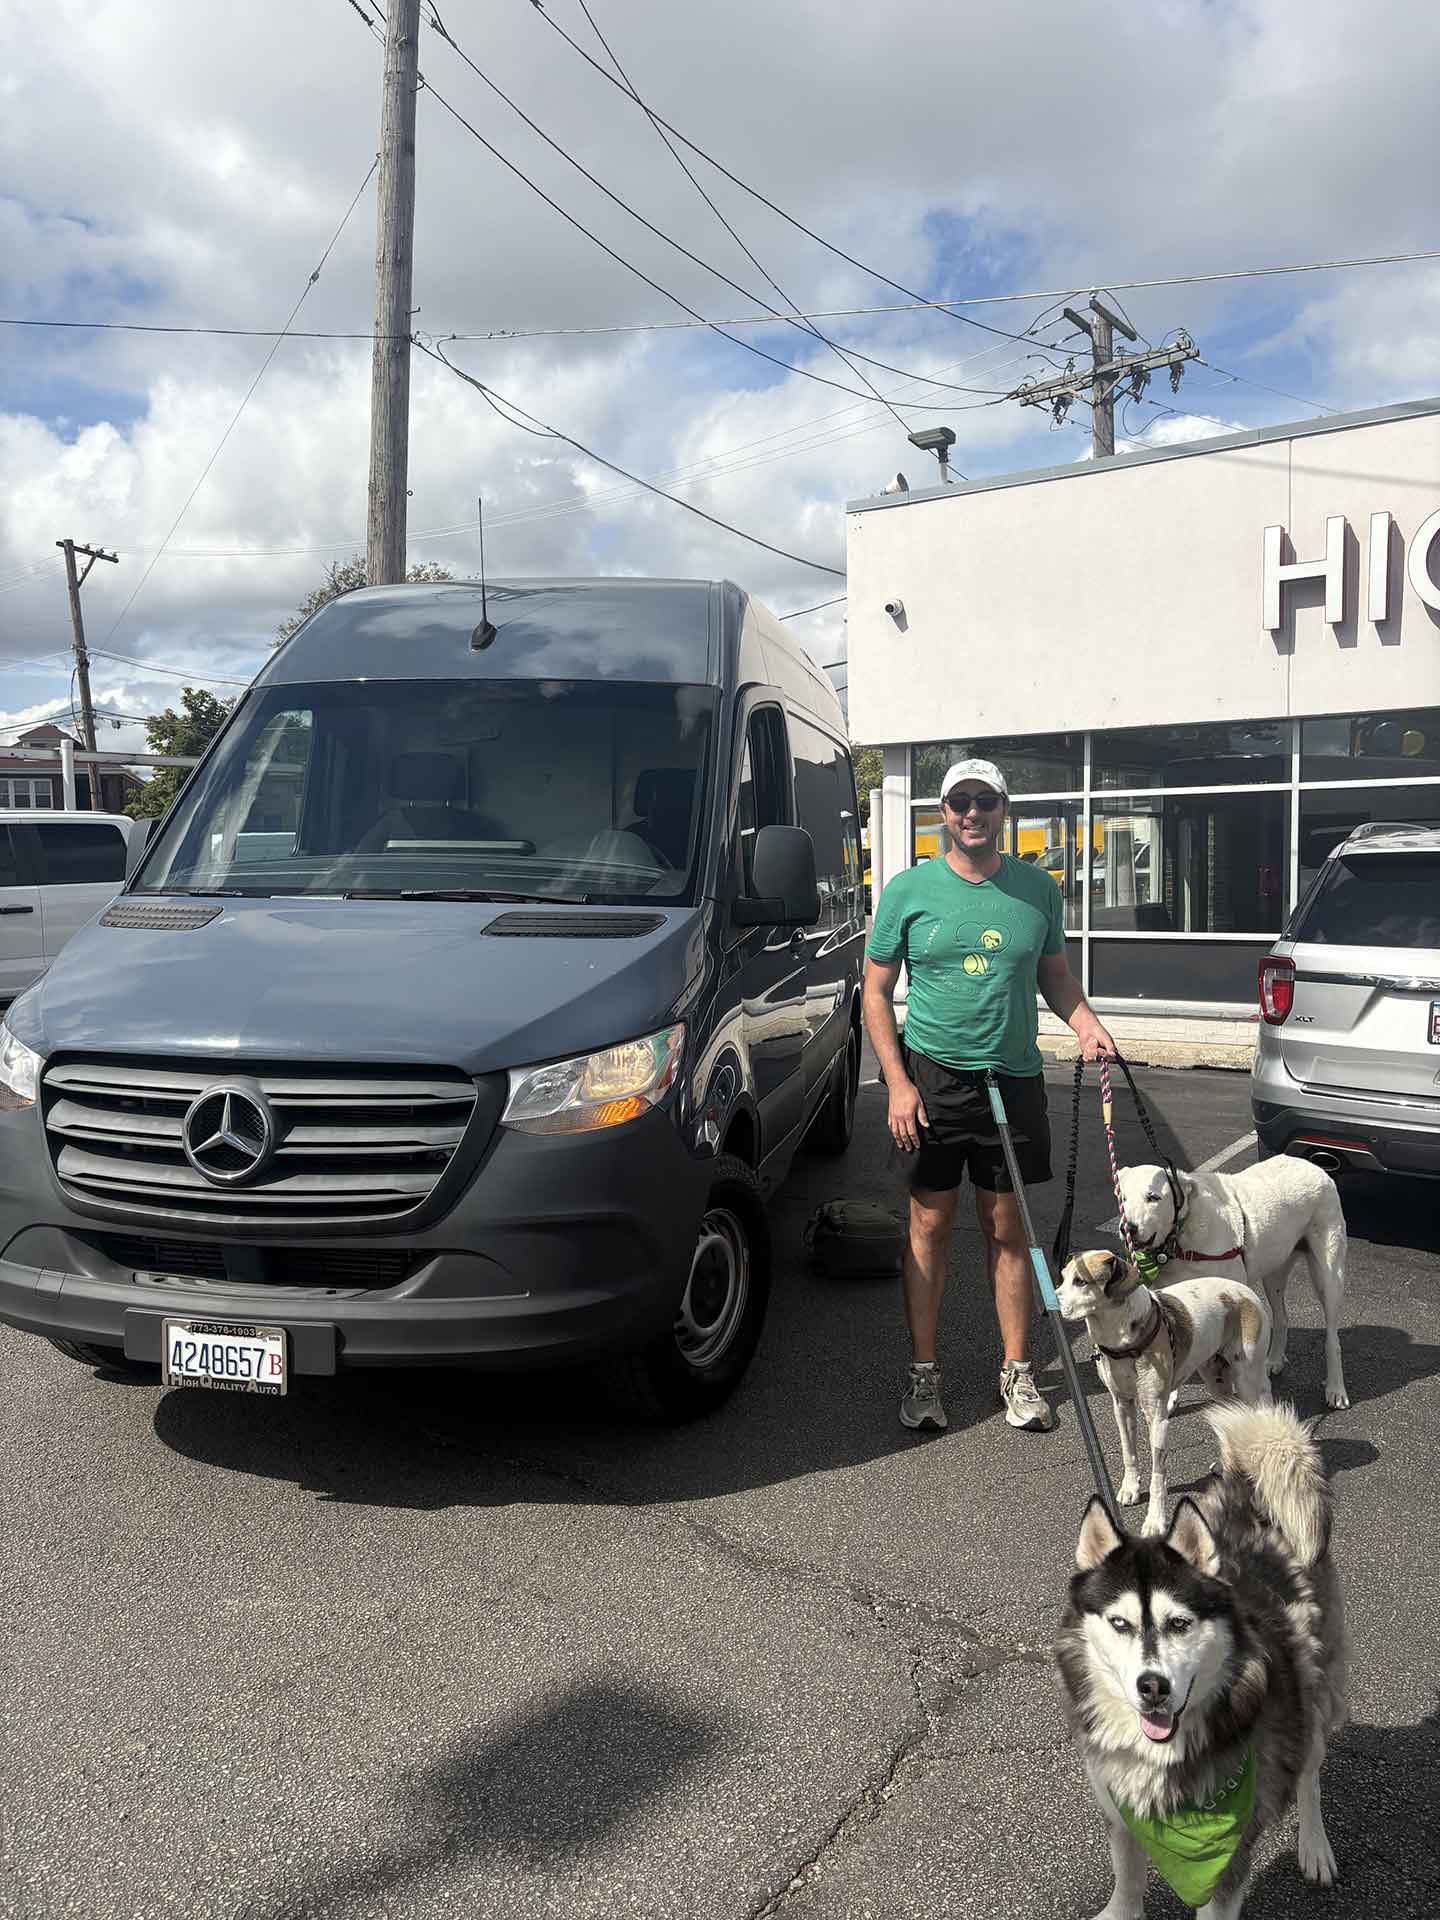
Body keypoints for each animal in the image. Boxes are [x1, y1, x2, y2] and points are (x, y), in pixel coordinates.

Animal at [1055, 1401, 1347, 1919]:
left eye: (1179, 1623)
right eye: (1119, 1623)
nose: (1153, 1687)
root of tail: (1245, 1498)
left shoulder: (1228, 1864)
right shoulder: (1118, 1808)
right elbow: (1127, 1877)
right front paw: (1121, 1907)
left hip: (1313, 1690)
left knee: (1310, 1771)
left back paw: (1315, 1846)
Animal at [1059, 1249, 1273, 1538]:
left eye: (1080, 1281)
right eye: (1062, 1277)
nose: (1054, 1300)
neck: (1123, 1343)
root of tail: (1247, 1292)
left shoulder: (1158, 1418)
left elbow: (1158, 1476)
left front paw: (1155, 1521)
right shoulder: (1122, 1405)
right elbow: (1128, 1452)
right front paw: (1130, 1488)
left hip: (1248, 1378)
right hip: (1215, 1379)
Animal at [1115, 1159, 1349, 1411]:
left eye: (1153, 1197)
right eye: (1123, 1198)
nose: (1127, 1228)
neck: (1180, 1239)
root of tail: (1312, 1165)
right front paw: (1170, 1398)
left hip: (1329, 1277)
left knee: (1332, 1338)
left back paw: (1336, 1389)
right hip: (1274, 1273)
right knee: (1282, 1317)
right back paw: (1274, 1359)